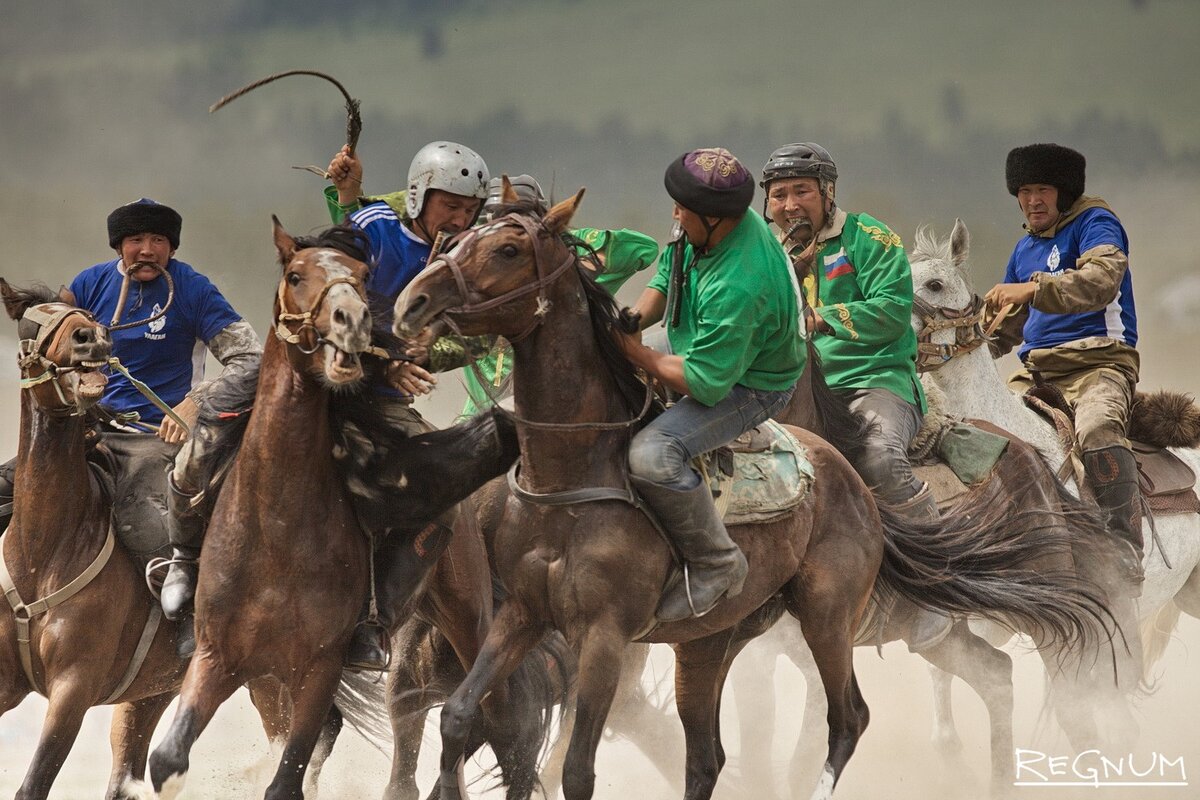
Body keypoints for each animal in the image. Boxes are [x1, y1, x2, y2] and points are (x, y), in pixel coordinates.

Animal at [393, 189, 1113, 800]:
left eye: (508, 250)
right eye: (460, 239)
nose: (411, 304)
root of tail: (1036, 460)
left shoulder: (624, 639)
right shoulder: (546, 621)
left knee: (1057, 695)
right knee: (993, 678)